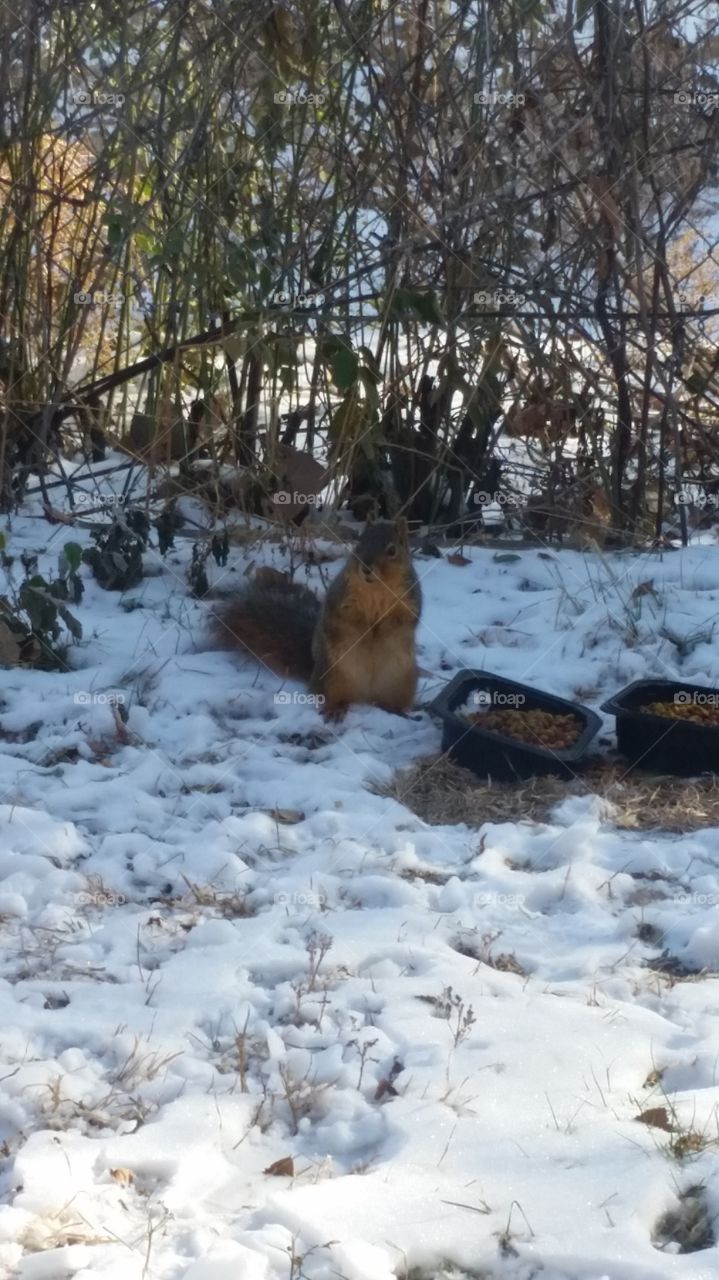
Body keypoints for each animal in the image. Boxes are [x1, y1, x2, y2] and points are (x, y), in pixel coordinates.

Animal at [217, 519, 422, 720]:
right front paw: (365, 630)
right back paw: (335, 709)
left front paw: (382, 630)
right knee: (332, 696)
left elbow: (405, 619)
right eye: (358, 546)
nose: (365, 568)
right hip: (332, 676)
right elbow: (347, 616)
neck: (377, 587)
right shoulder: (342, 595)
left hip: (401, 682)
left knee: (391, 702)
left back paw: (397, 711)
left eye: (392, 550)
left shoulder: (410, 599)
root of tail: (365, 695)